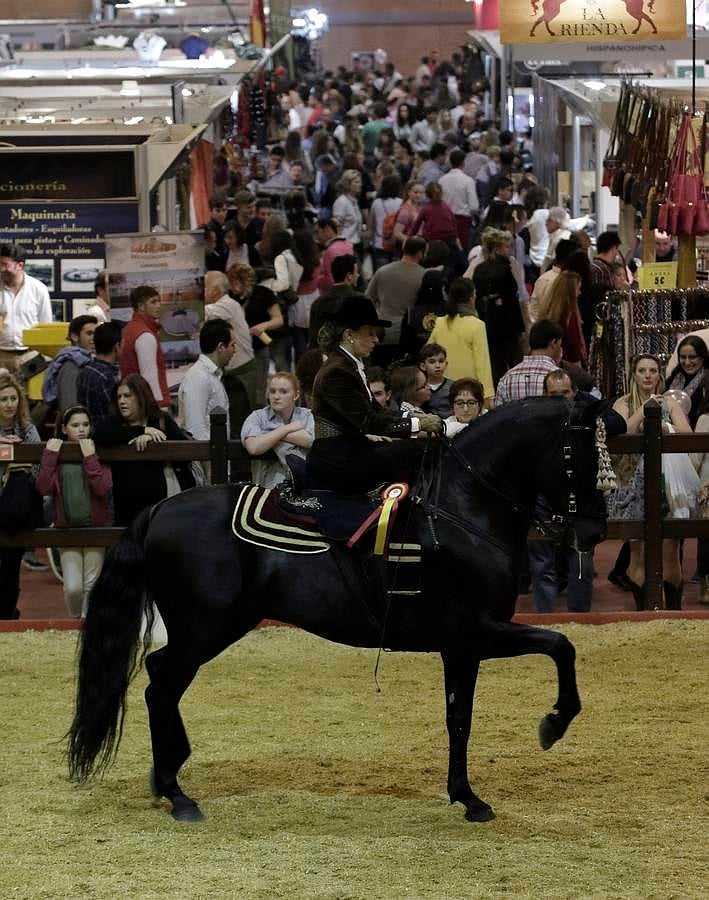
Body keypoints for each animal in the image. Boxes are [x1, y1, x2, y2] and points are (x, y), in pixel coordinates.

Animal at [69, 400, 604, 824]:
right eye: (580, 455)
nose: (594, 531)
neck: (460, 510)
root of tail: (160, 509)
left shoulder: (461, 647)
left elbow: (460, 718)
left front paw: (466, 797)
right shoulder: (478, 630)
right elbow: (561, 645)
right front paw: (554, 724)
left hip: (209, 629)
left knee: (159, 679)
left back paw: (167, 779)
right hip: (204, 630)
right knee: (161, 684)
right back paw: (177, 793)